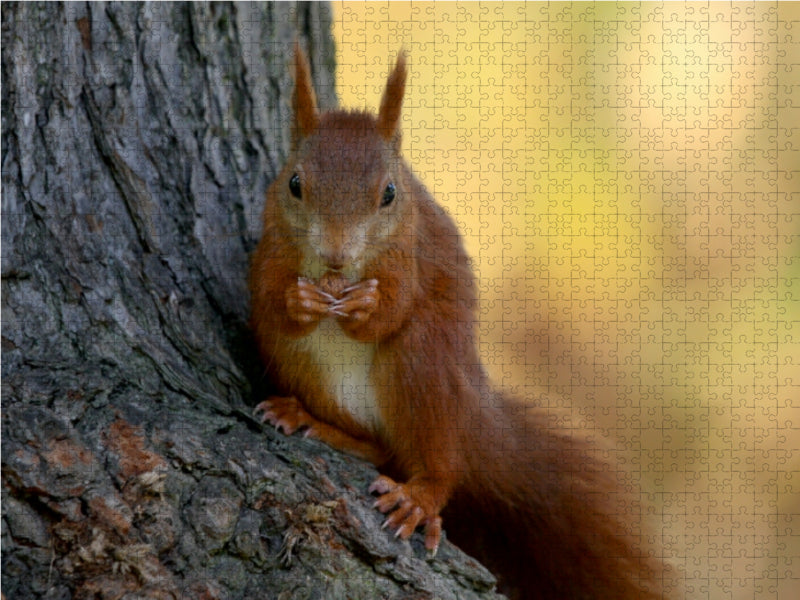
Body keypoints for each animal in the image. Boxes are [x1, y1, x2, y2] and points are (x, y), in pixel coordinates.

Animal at [249, 42, 667, 600]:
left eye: (389, 193)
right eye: (295, 183)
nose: (336, 256)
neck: (337, 276)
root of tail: (472, 416)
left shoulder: (410, 254)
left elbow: (394, 308)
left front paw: (365, 308)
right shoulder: (272, 246)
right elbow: (267, 296)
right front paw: (299, 301)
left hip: (423, 367)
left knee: (439, 463)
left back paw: (419, 497)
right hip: (299, 364)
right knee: (377, 447)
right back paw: (309, 420)